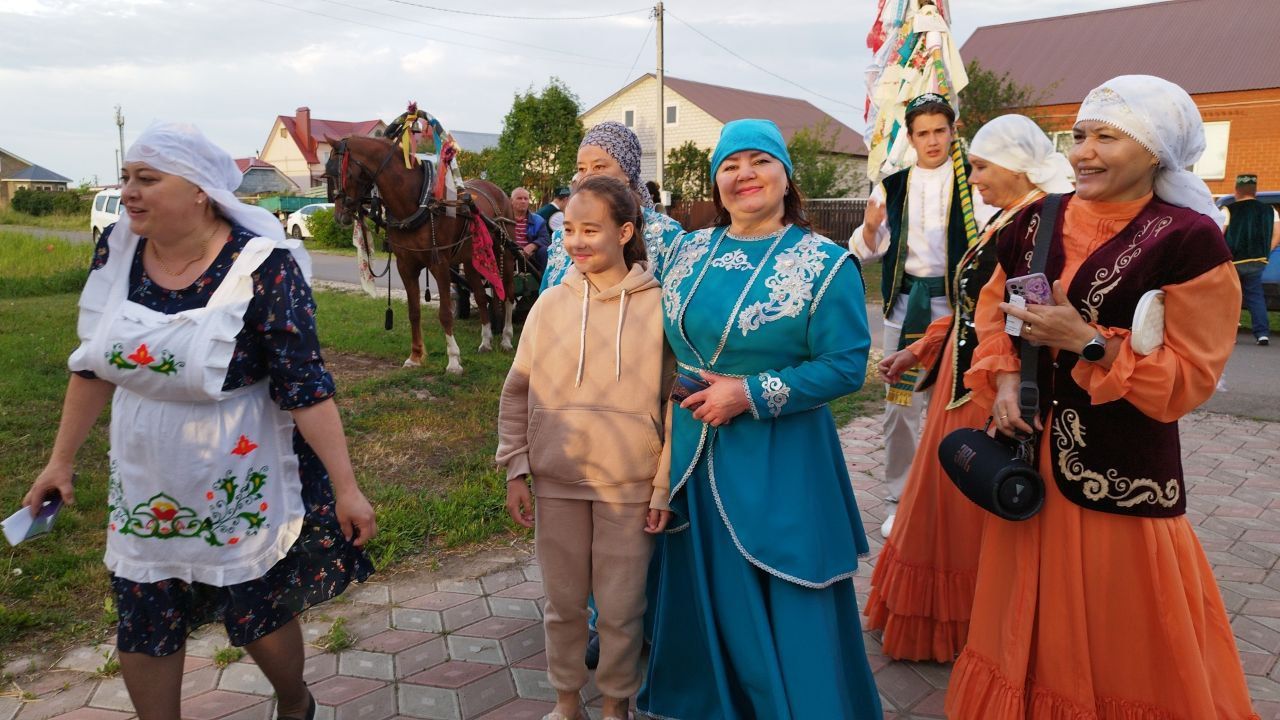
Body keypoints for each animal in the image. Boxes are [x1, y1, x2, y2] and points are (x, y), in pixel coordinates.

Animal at [327, 134, 517, 371]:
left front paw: (453, 360)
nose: (340, 216)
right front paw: (415, 356)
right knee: (482, 297)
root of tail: (496, 190)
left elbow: (445, 313)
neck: (419, 203)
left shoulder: (440, 264)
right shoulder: (406, 266)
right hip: (472, 261)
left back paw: (506, 339)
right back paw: (486, 341)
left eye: (346, 174)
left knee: (508, 295)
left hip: (505, 254)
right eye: (328, 175)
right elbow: (414, 311)